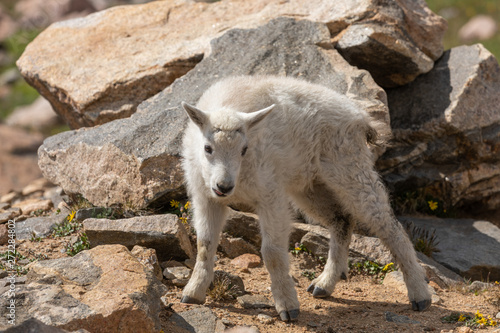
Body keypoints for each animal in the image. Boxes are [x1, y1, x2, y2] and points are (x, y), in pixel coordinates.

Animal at [182, 74, 432, 320]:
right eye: (207, 147)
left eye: (244, 149)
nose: (224, 187)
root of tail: (361, 118)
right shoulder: (206, 198)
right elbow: (204, 243)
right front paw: (193, 292)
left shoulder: (271, 196)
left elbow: (272, 252)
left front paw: (288, 307)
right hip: (310, 187)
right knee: (341, 220)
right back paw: (324, 284)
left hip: (350, 168)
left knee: (388, 225)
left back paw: (420, 295)